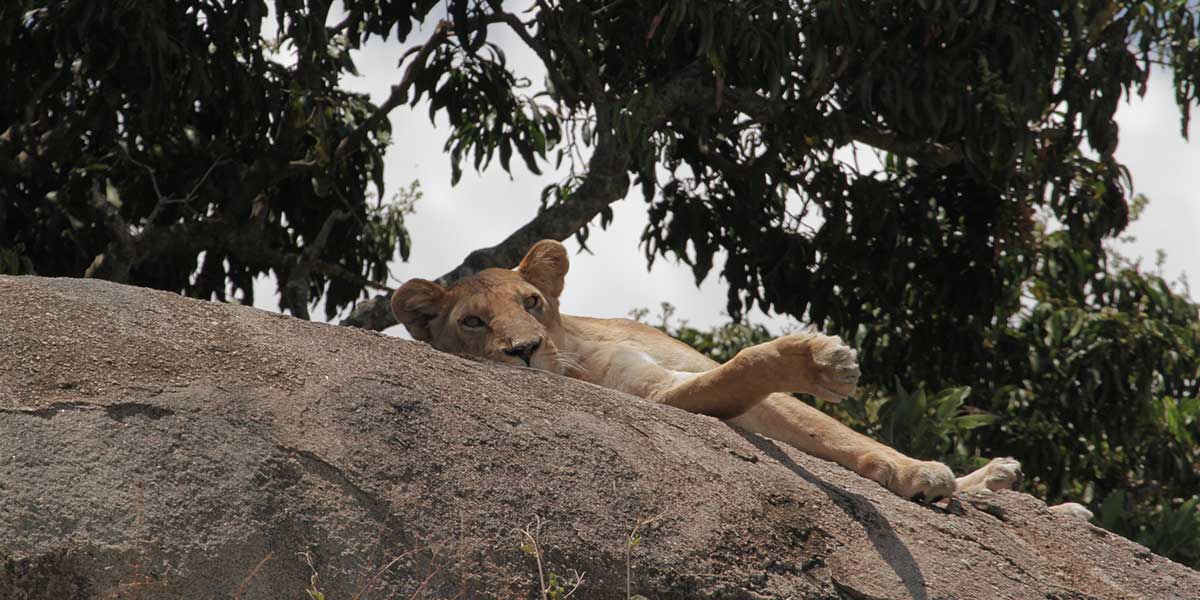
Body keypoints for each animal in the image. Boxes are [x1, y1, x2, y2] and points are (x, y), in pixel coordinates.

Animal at [391, 239, 1061, 504]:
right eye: (474, 323)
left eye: (531, 302)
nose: (525, 350)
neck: (573, 348)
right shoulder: (663, 395)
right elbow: (745, 368)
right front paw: (817, 358)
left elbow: (835, 432)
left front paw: (917, 470)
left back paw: (1001, 481)